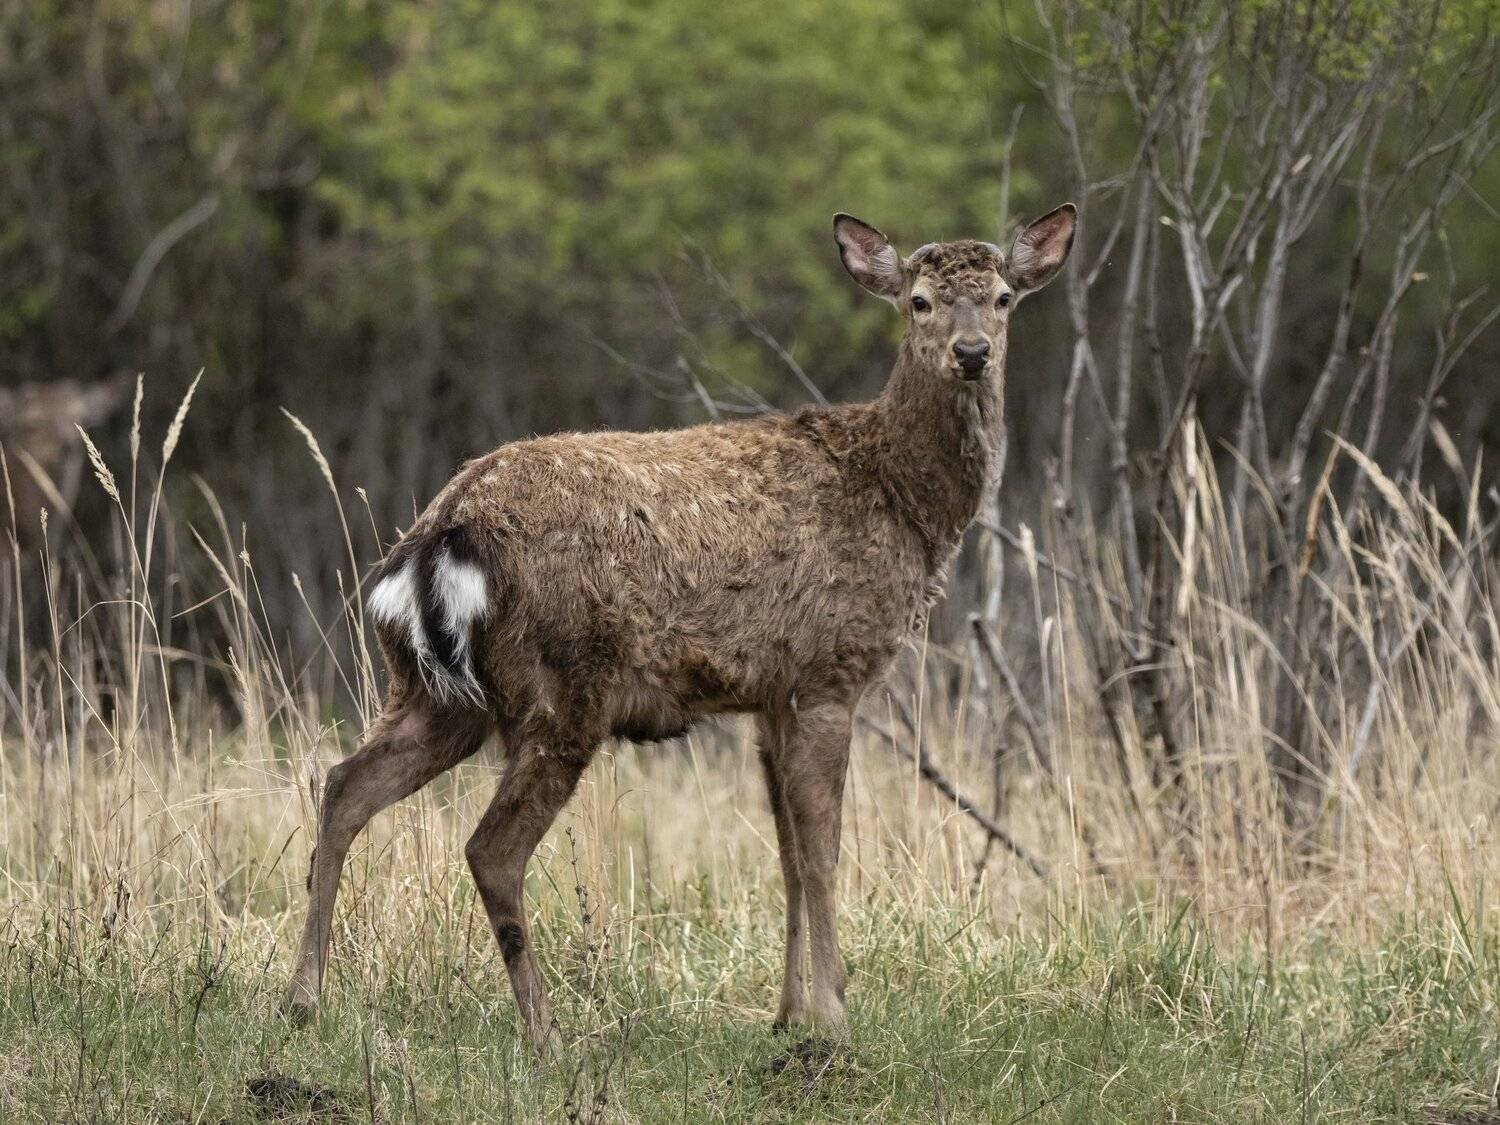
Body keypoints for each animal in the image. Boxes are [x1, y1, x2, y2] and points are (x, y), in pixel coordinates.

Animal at [283, 204, 1076, 1048]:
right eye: (919, 302)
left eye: (1003, 298)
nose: (972, 353)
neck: (900, 498)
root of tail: (442, 533)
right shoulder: (829, 671)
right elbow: (822, 852)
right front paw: (834, 1013)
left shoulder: (769, 695)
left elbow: (787, 855)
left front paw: (788, 1014)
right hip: (563, 686)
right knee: (490, 847)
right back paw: (546, 1029)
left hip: (434, 693)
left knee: (344, 786)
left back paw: (303, 997)